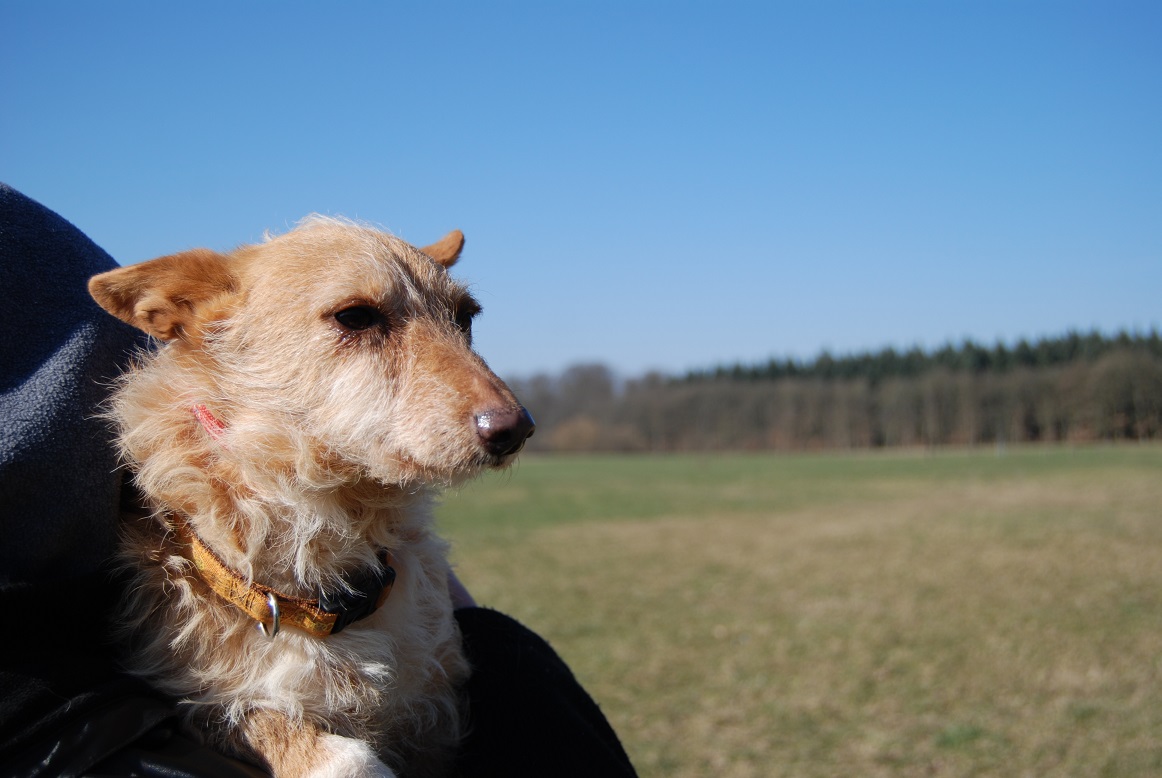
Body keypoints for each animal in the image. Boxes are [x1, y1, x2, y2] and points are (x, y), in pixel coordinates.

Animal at [88, 218, 535, 777]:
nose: (517, 428)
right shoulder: (206, 705)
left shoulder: (434, 714)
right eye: (355, 316)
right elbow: (324, 748)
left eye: (466, 317)